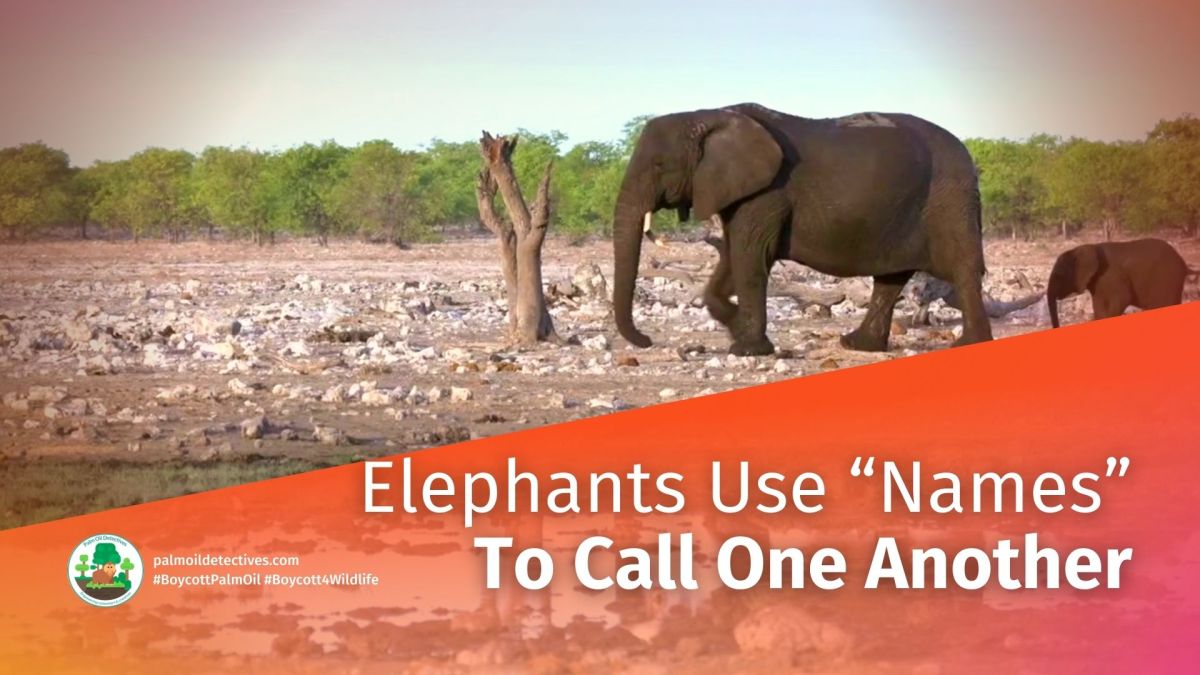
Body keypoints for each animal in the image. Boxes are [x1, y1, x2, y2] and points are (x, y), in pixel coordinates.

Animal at [611, 103, 993, 356]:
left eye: (659, 165)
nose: (647, 341)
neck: (709, 114)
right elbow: (733, 255)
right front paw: (736, 326)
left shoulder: (768, 191)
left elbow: (750, 258)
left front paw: (747, 348)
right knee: (890, 279)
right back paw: (858, 345)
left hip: (951, 197)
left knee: (962, 269)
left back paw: (970, 344)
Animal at [1046, 238, 1197, 328]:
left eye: (1059, 275)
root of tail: (1184, 264)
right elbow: (1098, 306)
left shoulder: (1112, 275)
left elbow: (1122, 298)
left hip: (1168, 279)